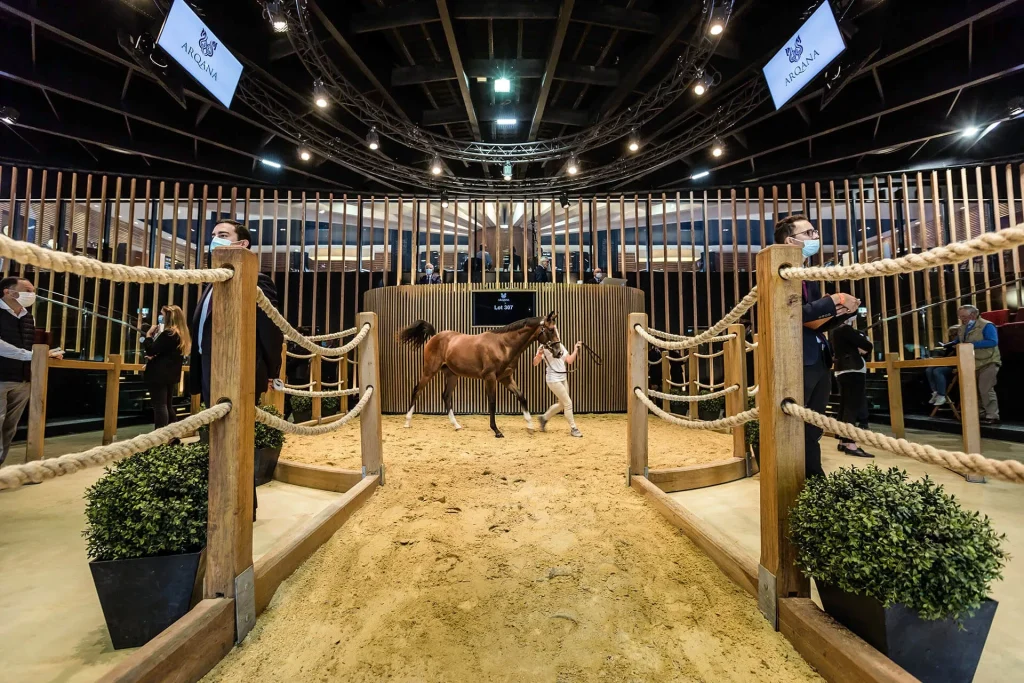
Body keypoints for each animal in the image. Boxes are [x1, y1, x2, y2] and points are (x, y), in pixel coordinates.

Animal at [399, 311, 561, 438]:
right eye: (550, 329)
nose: (559, 352)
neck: (503, 345)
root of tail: (435, 337)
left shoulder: (506, 378)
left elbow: (522, 397)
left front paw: (530, 426)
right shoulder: (490, 378)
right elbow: (492, 403)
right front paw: (496, 431)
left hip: (452, 375)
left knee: (446, 396)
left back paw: (456, 425)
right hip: (429, 370)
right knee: (417, 390)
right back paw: (407, 422)